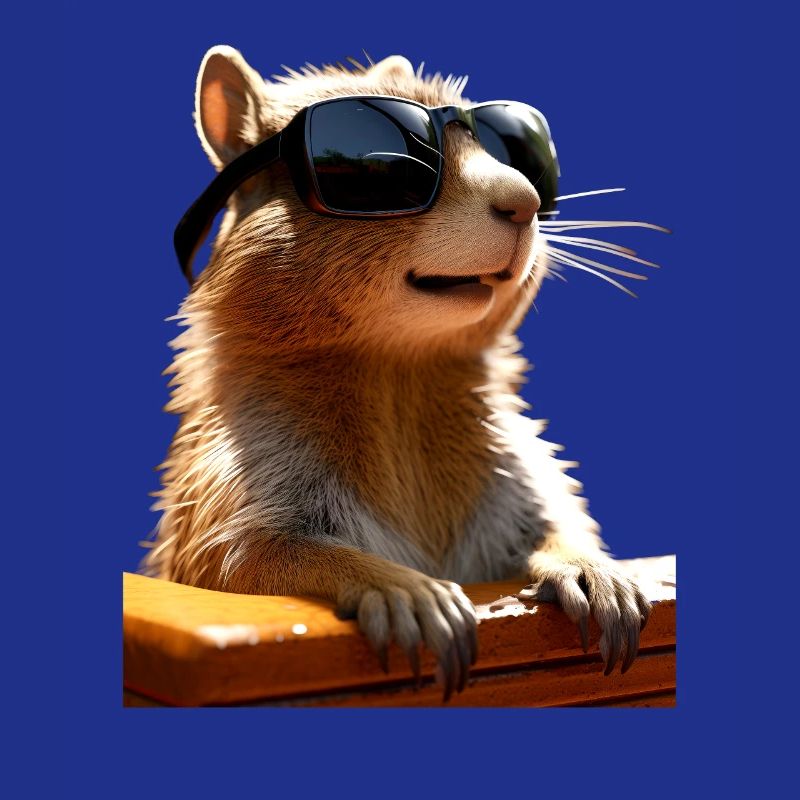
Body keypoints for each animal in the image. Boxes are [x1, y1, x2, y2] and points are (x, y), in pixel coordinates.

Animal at [142, 46, 652, 701]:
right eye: (379, 165)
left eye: (519, 152)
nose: (526, 200)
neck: (399, 368)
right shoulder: (235, 476)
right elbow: (249, 557)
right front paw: (406, 589)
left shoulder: (520, 472)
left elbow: (553, 521)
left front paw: (593, 568)